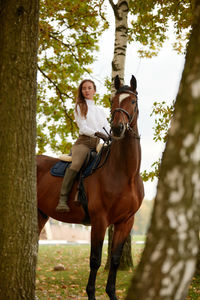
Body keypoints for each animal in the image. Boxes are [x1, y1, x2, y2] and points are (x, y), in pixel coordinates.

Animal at [36, 75, 145, 300]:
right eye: (113, 101)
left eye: (132, 101)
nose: (118, 129)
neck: (124, 174)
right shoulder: (99, 220)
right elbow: (95, 260)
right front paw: (91, 293)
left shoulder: (125, 222)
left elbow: (114, 259)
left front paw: (112, 293)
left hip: (41, 214)